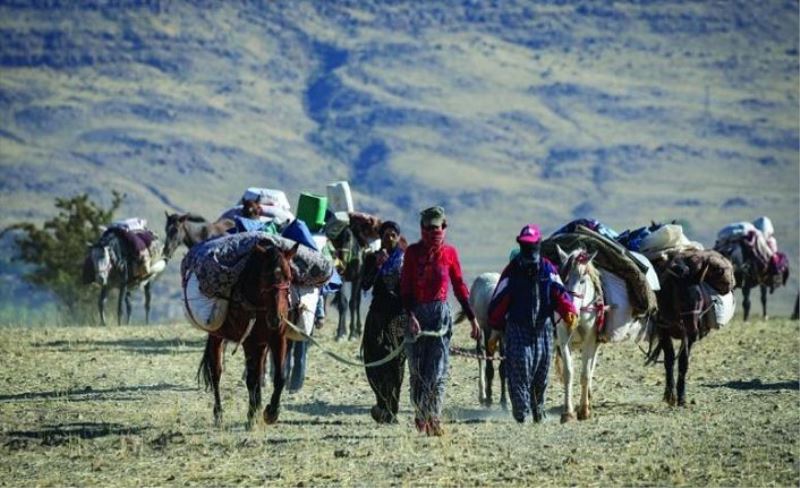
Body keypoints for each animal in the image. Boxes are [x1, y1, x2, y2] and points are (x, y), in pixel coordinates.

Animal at [197, 240, 300, 428]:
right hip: (217, 337)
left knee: (258, 373)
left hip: (261, 345)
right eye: (265, 277)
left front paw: (271, 412)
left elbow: (280, 377)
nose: (276, 318)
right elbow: (251, 380)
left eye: (289, 278)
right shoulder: (249, 342)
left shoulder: (277, 339)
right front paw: (252, 416)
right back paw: (219, 414)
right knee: (216, 373)